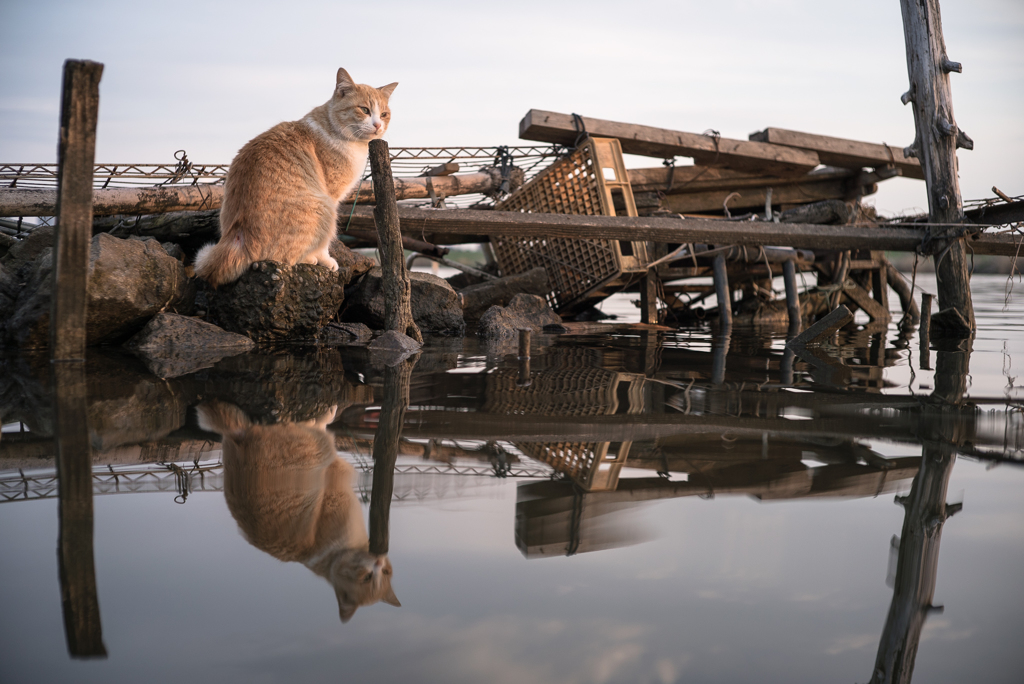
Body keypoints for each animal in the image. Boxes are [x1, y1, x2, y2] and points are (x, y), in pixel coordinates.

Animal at [194, 71, 395, 288]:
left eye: (384, 114)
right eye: (365, 110)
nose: (378, 125)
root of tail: (238, 236)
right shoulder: (332, 197)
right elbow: (325, 244)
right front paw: (326, 260)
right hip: (323, 207)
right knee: (285, 257)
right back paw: (311, 258)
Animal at [196, 397, 399, 622]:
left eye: (387, 572)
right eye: (367, 578)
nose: (380, 562)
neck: (334, 557)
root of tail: (239, 436)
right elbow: (322, 424)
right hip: (319, 447)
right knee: (315, 425)